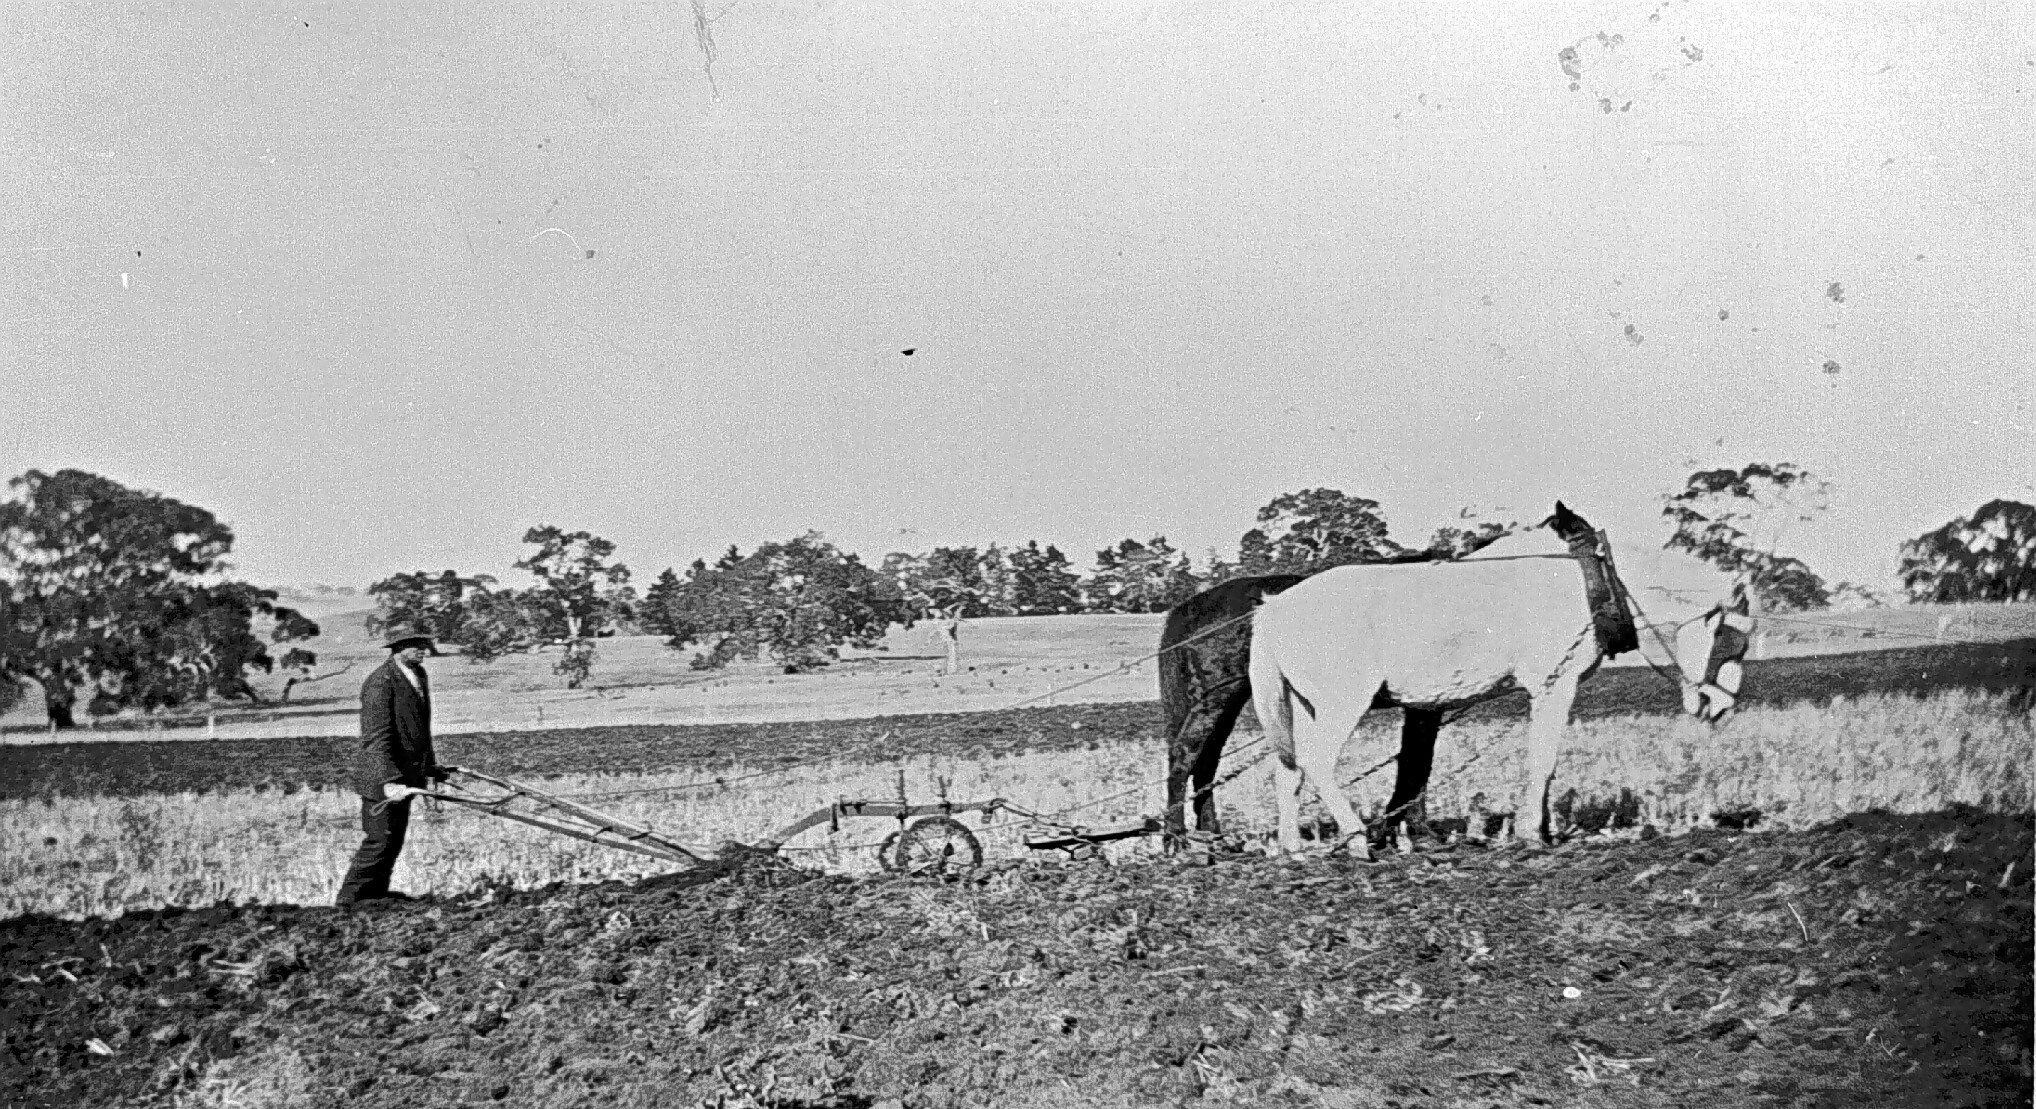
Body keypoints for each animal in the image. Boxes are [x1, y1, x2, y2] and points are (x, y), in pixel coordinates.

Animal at [1244, 502, 1749, 856]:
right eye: (1725, 634)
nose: (1723, 706)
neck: (1597, 580)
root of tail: (1273, 609)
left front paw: (1540, 828)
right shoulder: (1554, 685)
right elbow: (1542, 760)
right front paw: (1531, 835)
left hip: (1306, 706)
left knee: (1288, 770)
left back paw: (1293, 846)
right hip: (1343, 703)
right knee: (1316, 762)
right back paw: (1354, 840)